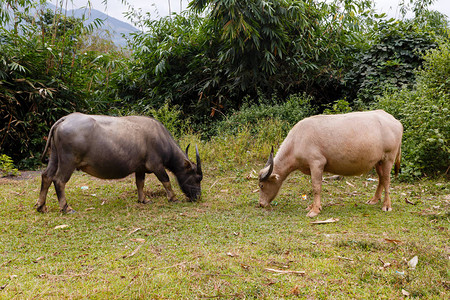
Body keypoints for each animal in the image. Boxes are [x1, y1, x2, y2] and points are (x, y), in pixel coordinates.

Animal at [37, 112, 202, 213]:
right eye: (197, 178)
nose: (198, 197)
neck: (161, 140)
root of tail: (64, 120)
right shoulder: (156, 165)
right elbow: (166, 180)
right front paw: (173, 198)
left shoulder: (140, 168)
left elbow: (140, 183)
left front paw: (143, 200)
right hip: (68, 161)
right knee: (59, 180)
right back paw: (66, 208)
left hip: (55, 157)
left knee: (47, 176)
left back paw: (41, 206)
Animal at [258, 109, 402, 217]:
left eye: (261, 185)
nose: (261, 204)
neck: (297, 141)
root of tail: (395, 121)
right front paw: (312, 206)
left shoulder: (317, 163)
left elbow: (316, 187)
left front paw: (314, 210)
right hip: (379, 161)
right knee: (381, 178)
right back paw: (374, 200)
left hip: (389, 158)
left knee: (387, 180)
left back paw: (386, 205)